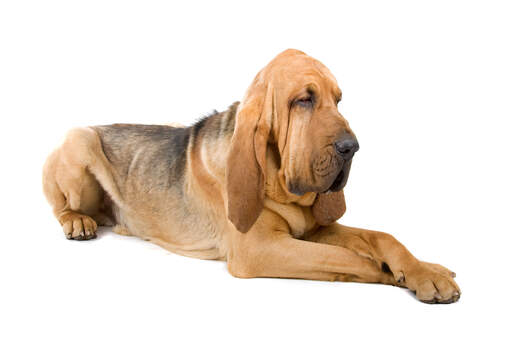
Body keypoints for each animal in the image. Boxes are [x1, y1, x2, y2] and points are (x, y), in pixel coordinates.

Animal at [43, 49, 460, 302]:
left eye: (338, 100)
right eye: (303, 100)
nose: (352, 147)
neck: (280, 184)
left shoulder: (313, 229)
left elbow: (382, 238)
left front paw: (425, 270)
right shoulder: (260, 249)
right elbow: (352, 260)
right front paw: (394, 274)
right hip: (80, 138)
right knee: (62, 206)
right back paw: (77, 222)